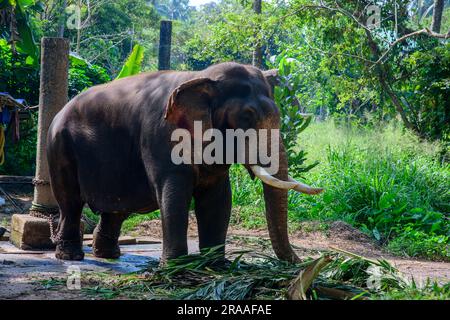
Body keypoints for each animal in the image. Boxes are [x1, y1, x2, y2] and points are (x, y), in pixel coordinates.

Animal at [46, 62, 324, 262]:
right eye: (246, 117)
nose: (303, 263)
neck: (200, 77)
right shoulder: (161, 136)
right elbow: (175, 192)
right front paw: (176, 267)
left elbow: (218, 198)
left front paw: (216, 265)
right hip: (59, 147)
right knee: (70, 201)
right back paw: (71, 256)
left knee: (116, 207)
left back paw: (109, 255)